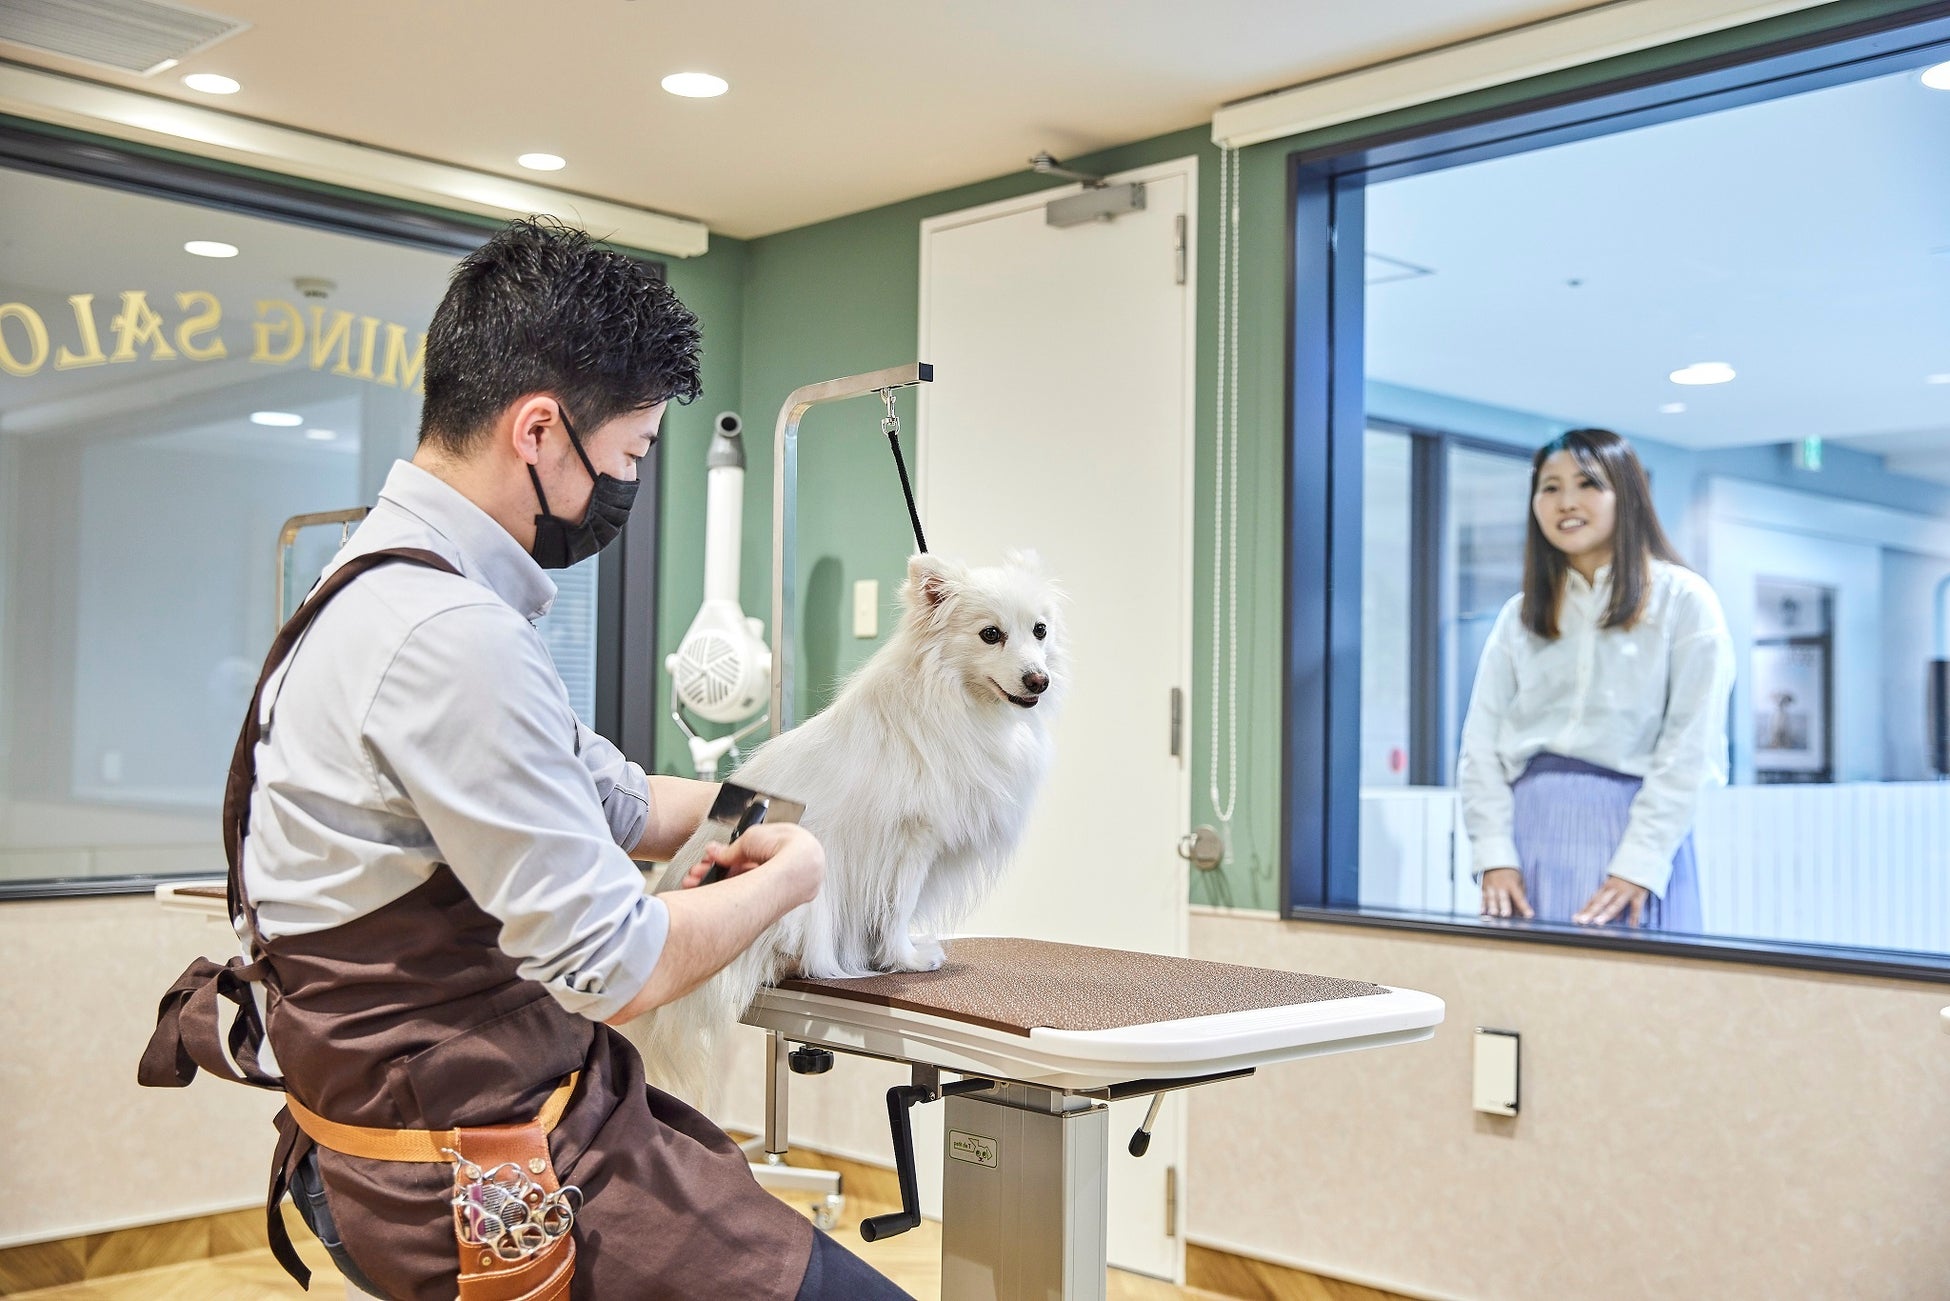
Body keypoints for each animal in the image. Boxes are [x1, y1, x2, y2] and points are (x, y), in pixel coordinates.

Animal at [643, 550, 1068, 1100]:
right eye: (990, 634)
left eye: (1039, 630)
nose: (1039, 680)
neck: (958, 702)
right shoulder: (912, 841)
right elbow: (898, 908)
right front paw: (906, 959)